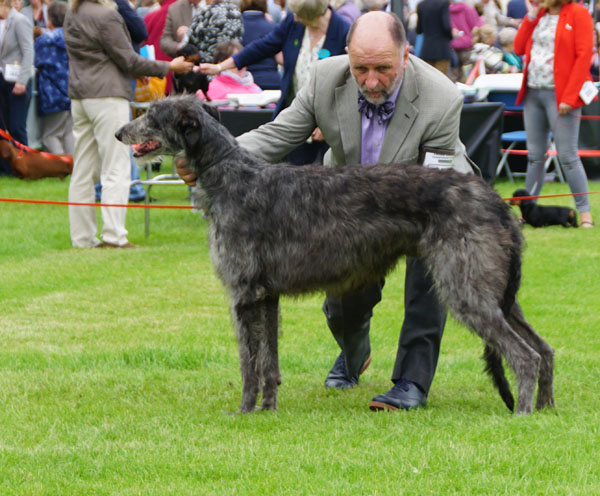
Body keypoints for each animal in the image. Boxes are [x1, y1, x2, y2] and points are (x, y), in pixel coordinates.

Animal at [117, 95, 556, 416]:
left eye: (152, 115)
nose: (121, 131)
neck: (231, 175)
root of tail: (496, 200)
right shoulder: (267, 295)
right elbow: (268, 361)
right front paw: (268, 408)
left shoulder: (243, 294)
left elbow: (248, 362)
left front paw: (243, 411)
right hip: (497, 289)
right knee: (544, 348)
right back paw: (548, 408)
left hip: (465, 285)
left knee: (524, 355)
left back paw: (523, 412)